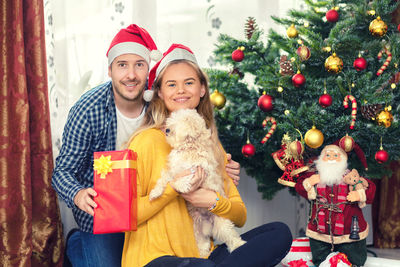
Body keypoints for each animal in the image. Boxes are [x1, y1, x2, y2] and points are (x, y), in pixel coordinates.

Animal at [148, 108, 245, 258]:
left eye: (178, 123)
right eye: (171, 121)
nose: (167, 130)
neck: (188, 147)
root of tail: (209, 224)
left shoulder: (197, 170)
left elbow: (181, 179)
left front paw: (181, 186)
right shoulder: (172, 170)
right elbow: (164, 180)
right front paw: (155, 193)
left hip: (222, 225)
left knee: (231, 236)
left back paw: (238, 245)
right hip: (198, 229)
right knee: (203, 242)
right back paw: (203, 253)